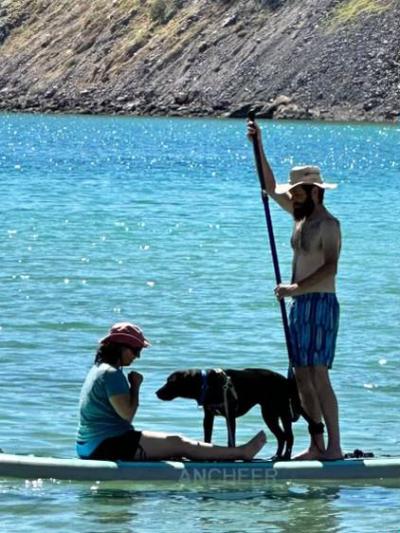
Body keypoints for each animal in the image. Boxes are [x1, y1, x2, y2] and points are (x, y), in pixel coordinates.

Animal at [156, 368, 300, 460]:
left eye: (170, 382)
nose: (157, 393)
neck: (207, 385)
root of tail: (286, 381)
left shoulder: (230, 416)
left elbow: (231, 440)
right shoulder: (208, 417)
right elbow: (207, 437)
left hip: (282, 411)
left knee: (289, 436)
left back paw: (286, 456)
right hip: (269, 414)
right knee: (281, 436)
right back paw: (277, 456)